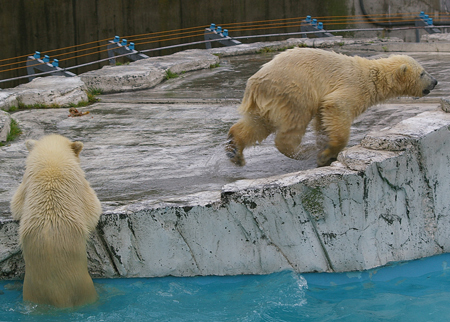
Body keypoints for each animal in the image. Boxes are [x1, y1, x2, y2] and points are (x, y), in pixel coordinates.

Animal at [9, 133, 102, 306]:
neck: (51, 164)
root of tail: (59, 295)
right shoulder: (80, 184)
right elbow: (93, 207)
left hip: (32, 292)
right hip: (84, 288)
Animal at [227, 49, 438, 169]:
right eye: (422, 73)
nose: (435, 81)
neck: (373, 76)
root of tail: (254, 83)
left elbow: (323, 120)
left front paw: (325, 148)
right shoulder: (353, 87)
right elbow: (337, 108)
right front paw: (325, 154)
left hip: (267, 101)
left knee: (257, 124)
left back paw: (234, 151)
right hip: (294, 90)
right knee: (294, 122)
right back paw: (302, 151)